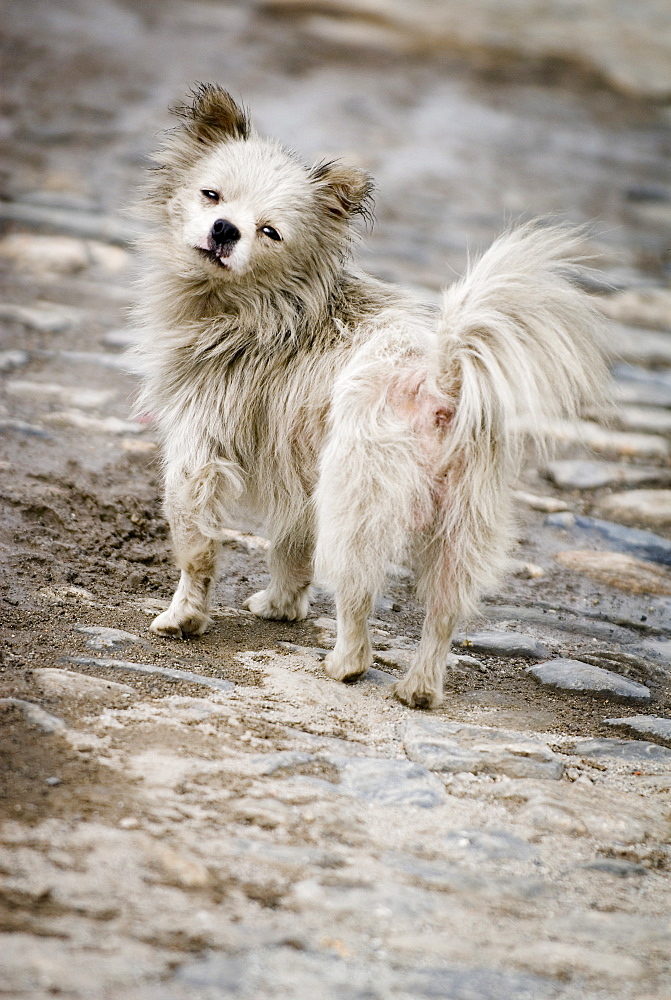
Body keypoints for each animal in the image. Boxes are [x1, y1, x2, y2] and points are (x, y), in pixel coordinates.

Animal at [133, 88, 608, 712]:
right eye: (211, 194)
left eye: (270, 232)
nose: (224, 229)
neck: (271, 303)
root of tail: (442, 376)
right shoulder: (301, 477)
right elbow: (291, 550)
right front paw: (281, 608)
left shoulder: (198, 454)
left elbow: (197, 551)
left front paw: (182, 620)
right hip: (458, 525)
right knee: (442, 614)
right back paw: (419, 689)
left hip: (358, 500)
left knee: (358, 598)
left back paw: (344, 665)